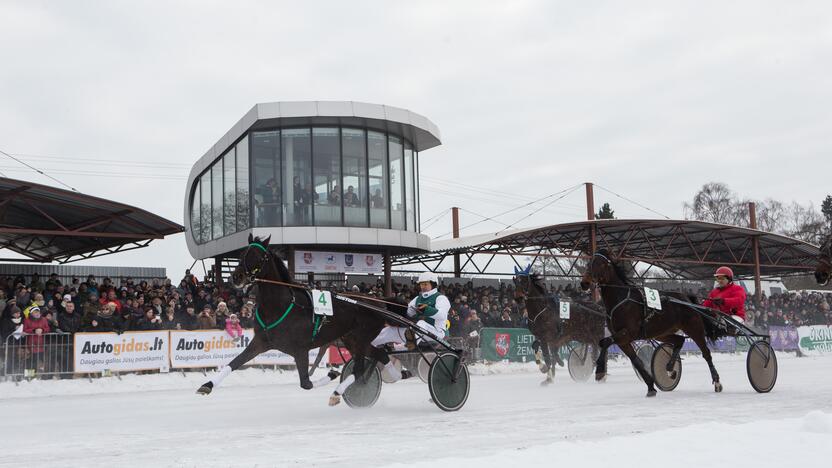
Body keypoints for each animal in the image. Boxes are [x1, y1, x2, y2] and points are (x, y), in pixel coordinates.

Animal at [197, 234, 388, 406]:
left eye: (259, 256)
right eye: (244, 253)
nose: (236, 277)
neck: (280, 306)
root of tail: (378, 303)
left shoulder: (300, 349)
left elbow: (306, 383)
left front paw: (331, 374)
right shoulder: (260, 342)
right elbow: (234, 362)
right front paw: (207, 385)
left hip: (361, 338)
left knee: (360, 369)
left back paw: (339, 391)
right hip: (351, 340)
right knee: (381, 356)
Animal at [580, 250, 720, 396]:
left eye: (601, 264)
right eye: (589, 262)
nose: (584, 283)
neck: (621, 299)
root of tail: (686, 297)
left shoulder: (628, 332)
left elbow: (605, 342)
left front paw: (600, 371)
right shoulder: (622, 340)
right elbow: (636, 361)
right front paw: (651, 387)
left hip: (693, 328)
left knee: (706, 353)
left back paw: (716, 382)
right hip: (662, 332)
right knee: (680, 340)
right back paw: (670, 367)